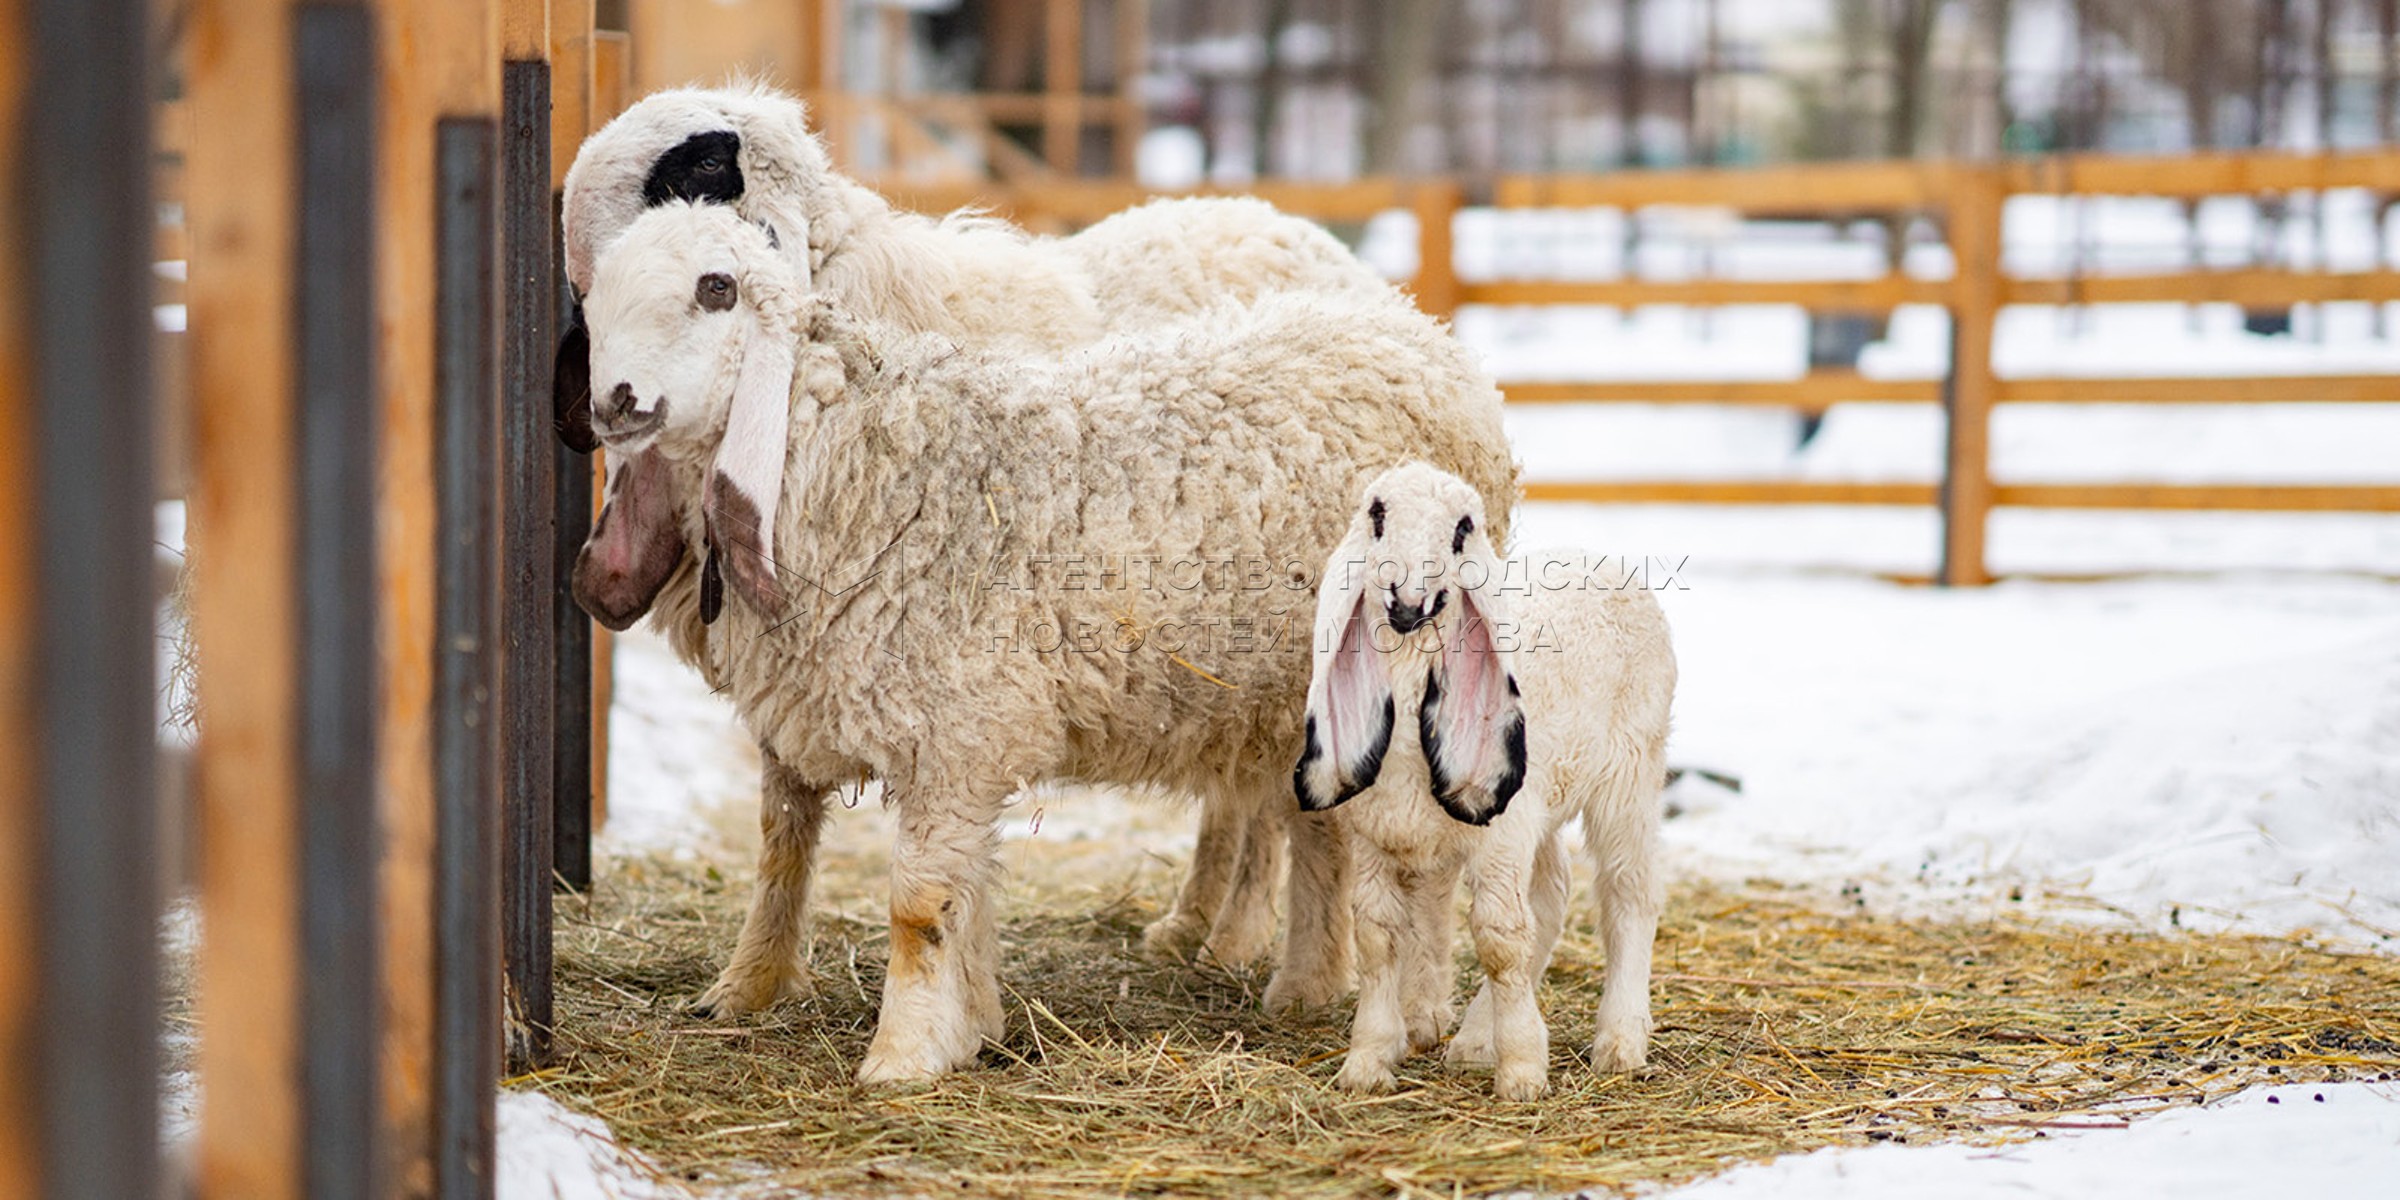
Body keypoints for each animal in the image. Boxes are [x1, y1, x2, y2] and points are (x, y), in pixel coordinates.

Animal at [554, 84, 1401, 988]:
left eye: (704, 169)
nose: (610, 394)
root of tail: (1283, 224)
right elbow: (784, 821)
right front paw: (752, 981)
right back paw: (1196, 921)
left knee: (1260, 796)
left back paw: (1230, 933)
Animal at [580, 201, 1516, 1084]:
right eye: (592, 295)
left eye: (717, 288)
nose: (612, 402)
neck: (863, 463)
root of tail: (1424, 337)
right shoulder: (924, 729)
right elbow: (905, 877)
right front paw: (971, 1026)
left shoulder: (954, 729)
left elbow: (920, 903)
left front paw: (902, 1056)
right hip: (1294, 698)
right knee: (1318, 829)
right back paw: (1312, 983)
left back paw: (1399, 1004)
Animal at [1296, 458, 1670, 1099]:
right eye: (1376, 515)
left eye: (1462, 528)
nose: (1406, 600)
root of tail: (1600, 557)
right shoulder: (1374, 838)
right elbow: (1375, 938)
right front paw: (1367, 1062)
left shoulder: (1500, 834)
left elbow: (1499, 941)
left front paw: (1521, 1072)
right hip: (1542, 805)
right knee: (1551, 897)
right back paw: (1474, 1042)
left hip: (1633, 770)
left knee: (1628, 892)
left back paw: (1619, 1042)